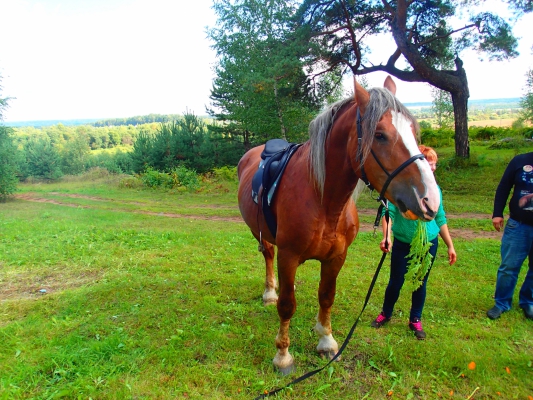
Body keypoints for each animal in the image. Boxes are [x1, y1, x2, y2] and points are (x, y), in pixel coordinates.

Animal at [237, 76, 440, 376]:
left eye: (414, 131)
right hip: (261, 235)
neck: (323, 200)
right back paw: (269, 293)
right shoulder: (289, 255)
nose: (429, 199)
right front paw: (283, 356)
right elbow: (287, 306)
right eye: (380, 135)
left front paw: (326, 341)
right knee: (269, 258)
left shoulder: (336, 257)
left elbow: (326, 296)